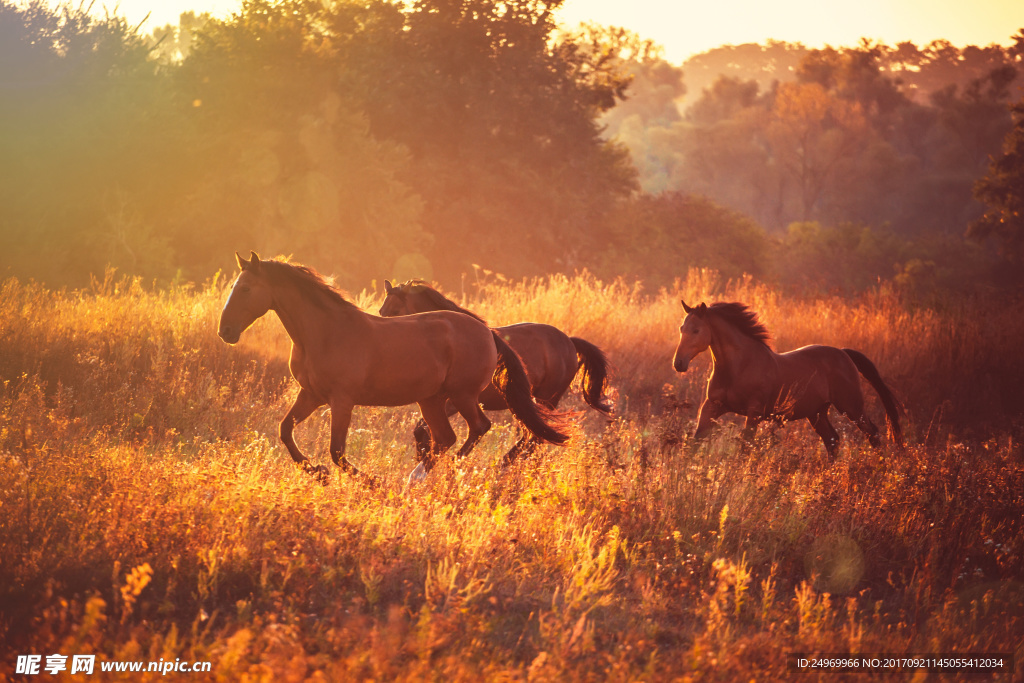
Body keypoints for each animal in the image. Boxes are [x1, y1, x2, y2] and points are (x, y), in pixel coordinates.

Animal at [218, 252, 569, 481]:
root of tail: (488, 333)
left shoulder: (341, 401)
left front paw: (373, 483)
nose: (226, 331)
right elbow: (285, 431)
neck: (325, 332)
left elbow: (337, 452)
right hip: (432, 400)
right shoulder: (311, 395)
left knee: (478, 428)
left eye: (245, 288)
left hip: (462, 395)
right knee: (446, 438)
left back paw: (440, 473)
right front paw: (316, 472)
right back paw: (418, 479)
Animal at [380, 278, 610, 464]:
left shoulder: (458, 399)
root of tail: (569, 341)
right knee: (532, 436)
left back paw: (505, 464)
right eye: (382, 312)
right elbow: (421, 428)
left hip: (546, 399)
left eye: (396, 311)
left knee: (534, 437)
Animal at [671, 301, 905, 456]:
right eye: (681, 328)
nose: (678, 363)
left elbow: (745, 448)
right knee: (832, 440)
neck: (738, 367)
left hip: (851, 407)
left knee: (872, 434)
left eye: (696, 330)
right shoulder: (712, 406)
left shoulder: (754, 413)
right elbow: (695, 441)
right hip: (816, 413)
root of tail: (843, 353)